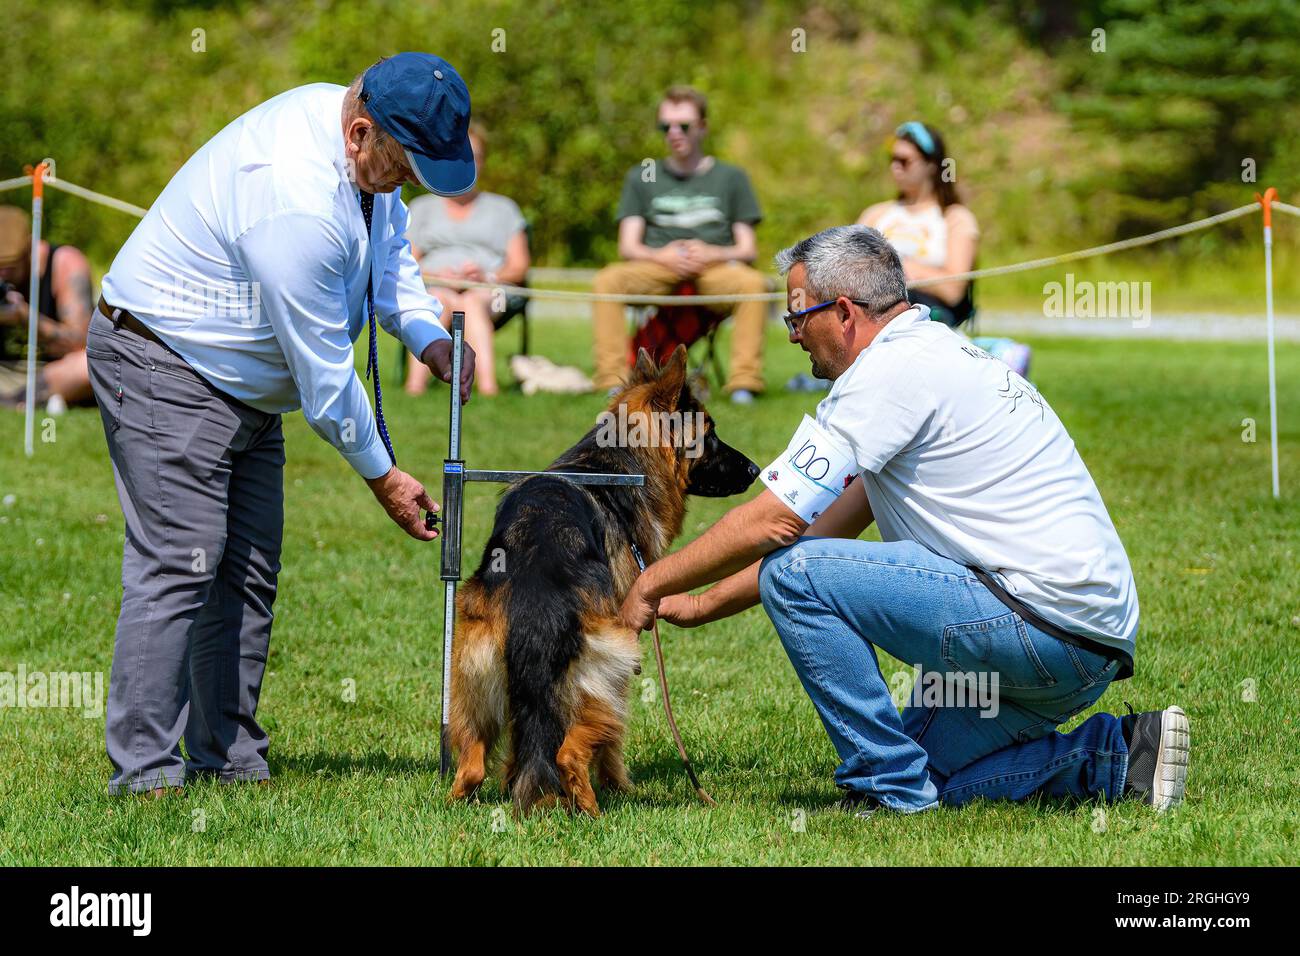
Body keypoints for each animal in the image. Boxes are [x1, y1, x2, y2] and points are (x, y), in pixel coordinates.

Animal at [447, 348, 759, 816]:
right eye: (710, 433)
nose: (757, 469)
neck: (617, 463)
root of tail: (539, 584)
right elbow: (611, 748)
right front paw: (618, 786)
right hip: (608, 676)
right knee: (572, 751)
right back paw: (590, 811)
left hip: (474, 681)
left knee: (472, 764)